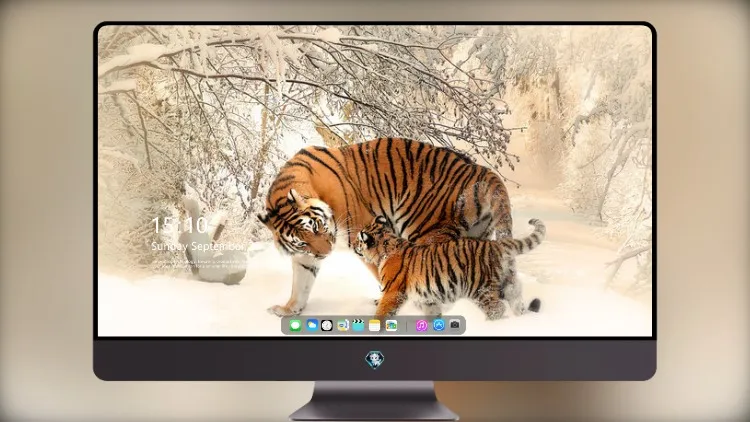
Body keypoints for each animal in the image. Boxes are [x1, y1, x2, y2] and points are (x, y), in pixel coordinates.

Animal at [257, 137, 514, 317]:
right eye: (302, 241)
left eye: (317, 226)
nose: (326, 253)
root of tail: (480, 170)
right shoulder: (305, 256)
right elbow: (300, 283)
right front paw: (289, 310)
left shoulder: (362, 233)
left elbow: (383, 274)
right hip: (476, 237)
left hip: (426, 231)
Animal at [353, 215, 545, 320]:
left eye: (359, 240)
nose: (354, 245)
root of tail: (496, 244)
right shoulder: (428, 298)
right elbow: (432, 313)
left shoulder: (393, 292)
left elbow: (383, 311)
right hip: (509, 284)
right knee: (517, 304)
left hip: (480, 288)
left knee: (497, 309)